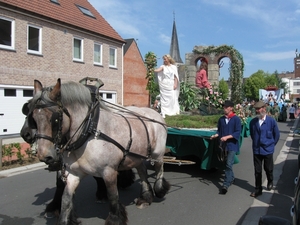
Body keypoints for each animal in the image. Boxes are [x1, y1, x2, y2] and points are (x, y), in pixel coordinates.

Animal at [27, 78, 170, 223]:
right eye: (33, 118)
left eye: (55, 119)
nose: (45, 156)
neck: (88, 131)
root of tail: (156, 114)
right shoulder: (73, 173)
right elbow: (66, 199)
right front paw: (63, 218)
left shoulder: (109, 171)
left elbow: (113, 196)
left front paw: (115, 219)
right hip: (137, 156)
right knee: (142, 171)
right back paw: (145, 197)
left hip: (157, 154)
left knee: (159, 168)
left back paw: (159, 189)